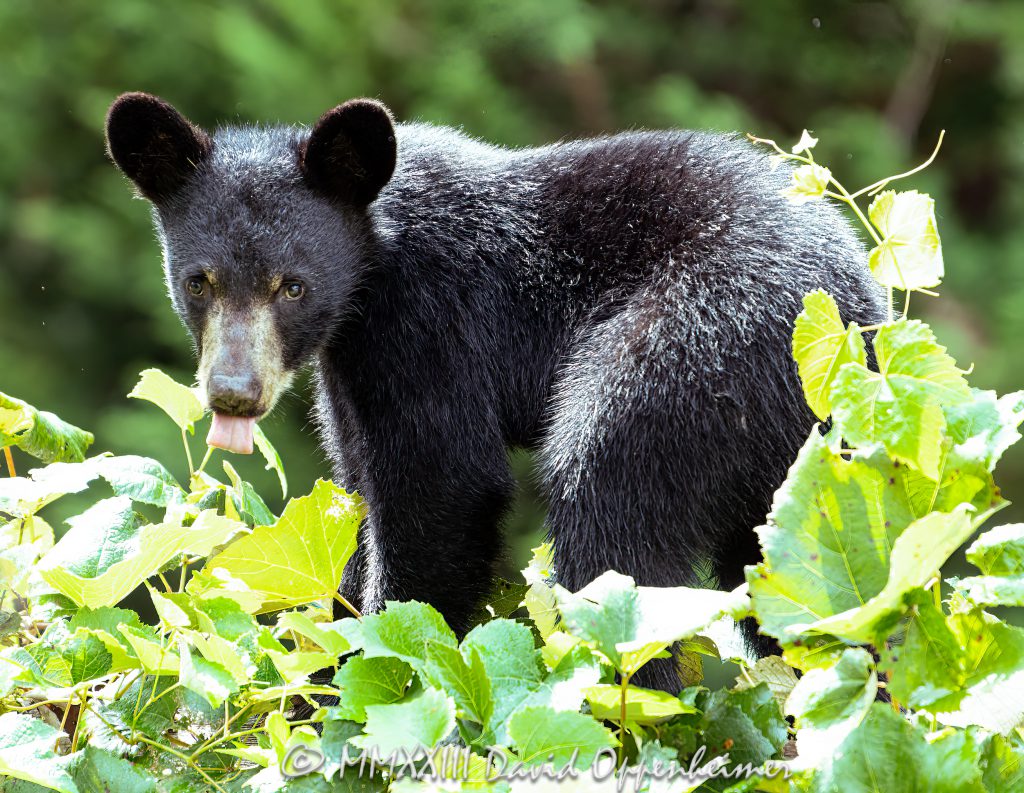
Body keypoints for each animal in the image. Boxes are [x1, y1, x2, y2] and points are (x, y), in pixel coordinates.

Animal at [105, 92, 885, 691]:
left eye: (292, 285)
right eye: (199, 281)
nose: (234, 392)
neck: (371, 269)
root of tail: (858, 312)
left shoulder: (429, 324)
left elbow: (442, 486)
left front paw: (382, 669)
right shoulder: (349, 372)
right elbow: (353, 498)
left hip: (698, 343)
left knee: (610, 509)